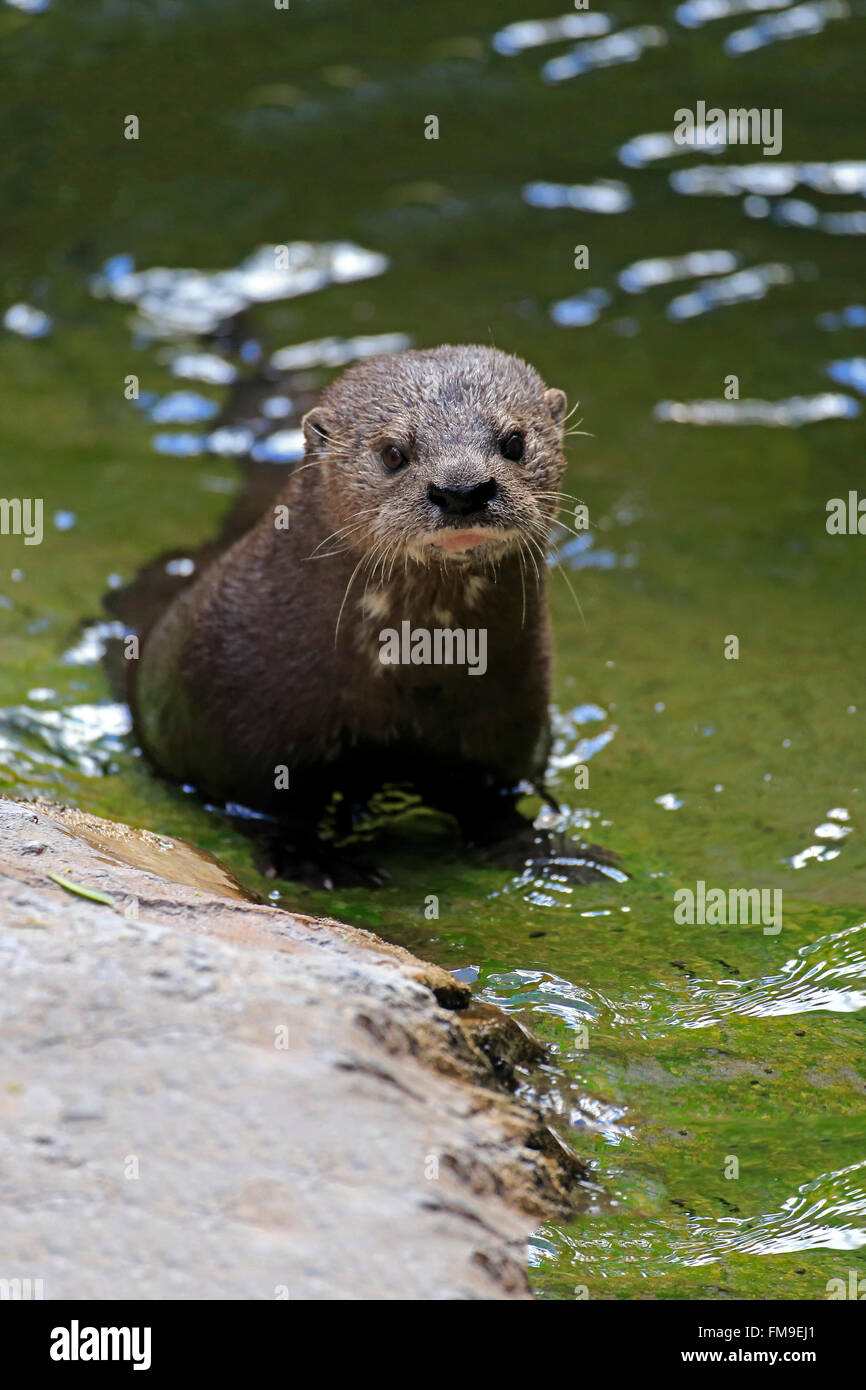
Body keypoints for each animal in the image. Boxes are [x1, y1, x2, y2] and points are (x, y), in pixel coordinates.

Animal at [134, 344, 580, 882]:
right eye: (392, 453)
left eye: (514, 441)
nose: (462, 489)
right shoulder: (239, 740)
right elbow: (271, 809)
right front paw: (312, 858)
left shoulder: (508, 714)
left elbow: (487, 798)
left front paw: (540, 849)